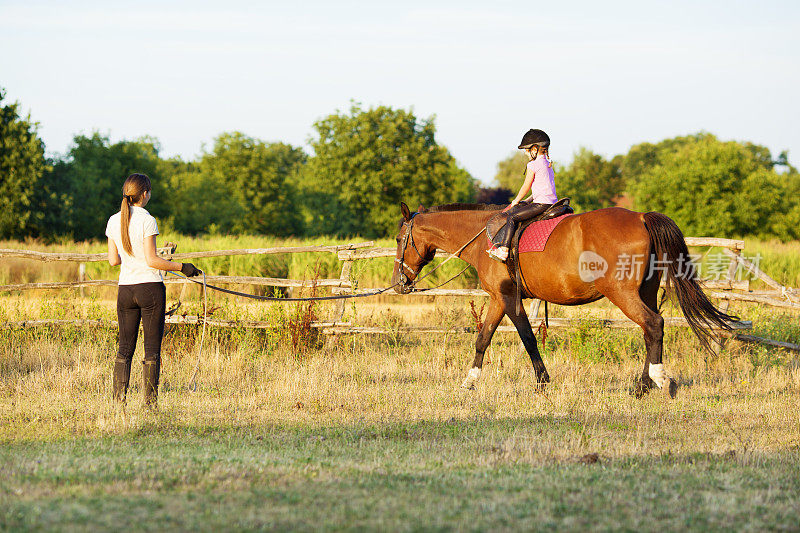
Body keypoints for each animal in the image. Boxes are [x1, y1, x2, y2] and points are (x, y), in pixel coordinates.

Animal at [390, 202, 736, 396]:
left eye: (398, 239)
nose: (398, 284)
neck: (483, 238)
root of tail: (640, 217)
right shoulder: (498, 299)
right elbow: (483, 338)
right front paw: (469, 382)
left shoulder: (509, 298)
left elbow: (528, 339)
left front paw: (542, 382)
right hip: (646, 291)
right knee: (651, 331)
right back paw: (644, 384)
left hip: (623, 294)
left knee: (654, 324)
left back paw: (655, 382)